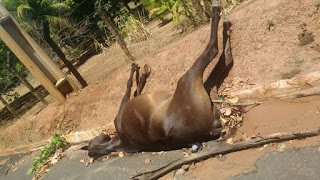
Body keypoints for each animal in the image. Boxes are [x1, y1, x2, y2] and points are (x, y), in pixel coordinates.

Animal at [82, 0, 232, 158]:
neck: (119, 142)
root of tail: (209, 129)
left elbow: (135, 90)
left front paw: (142, 73)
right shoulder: (121, 109)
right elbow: (128, 86)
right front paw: (136, 69)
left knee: (224, 57)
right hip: (189, 78)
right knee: (214, 50)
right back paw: (219, 14)